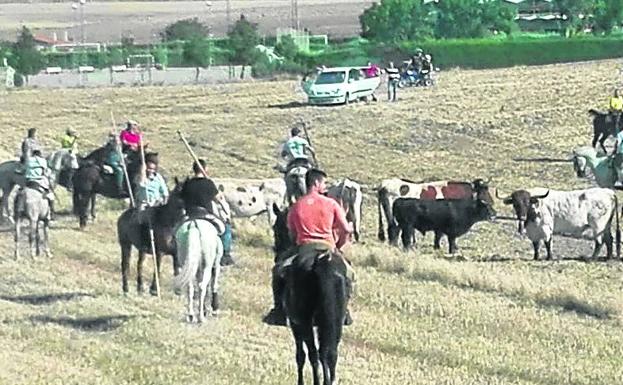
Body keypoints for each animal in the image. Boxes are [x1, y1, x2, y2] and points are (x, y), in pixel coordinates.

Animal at [272, 204, 352, 384]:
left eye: (276, 228)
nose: (276, 252)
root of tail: (323, 260)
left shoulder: (296, 324)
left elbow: (300, 355)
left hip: (305, 322)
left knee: (314, 354)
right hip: (334, 321)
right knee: (329, 353)